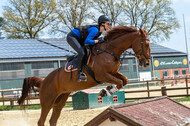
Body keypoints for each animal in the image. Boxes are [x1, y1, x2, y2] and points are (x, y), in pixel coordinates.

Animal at [18, 25, 151, 125]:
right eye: (146, 44)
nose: (147, 63)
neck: (110, 51)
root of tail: (43, 80)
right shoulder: (102, 75)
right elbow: (119, 82)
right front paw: (105, 92)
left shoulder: (113, 72)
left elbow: (124, 80)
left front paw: (107, 90)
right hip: (47, 101)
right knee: (41, 121)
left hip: (60, 100)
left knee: (53, 120)